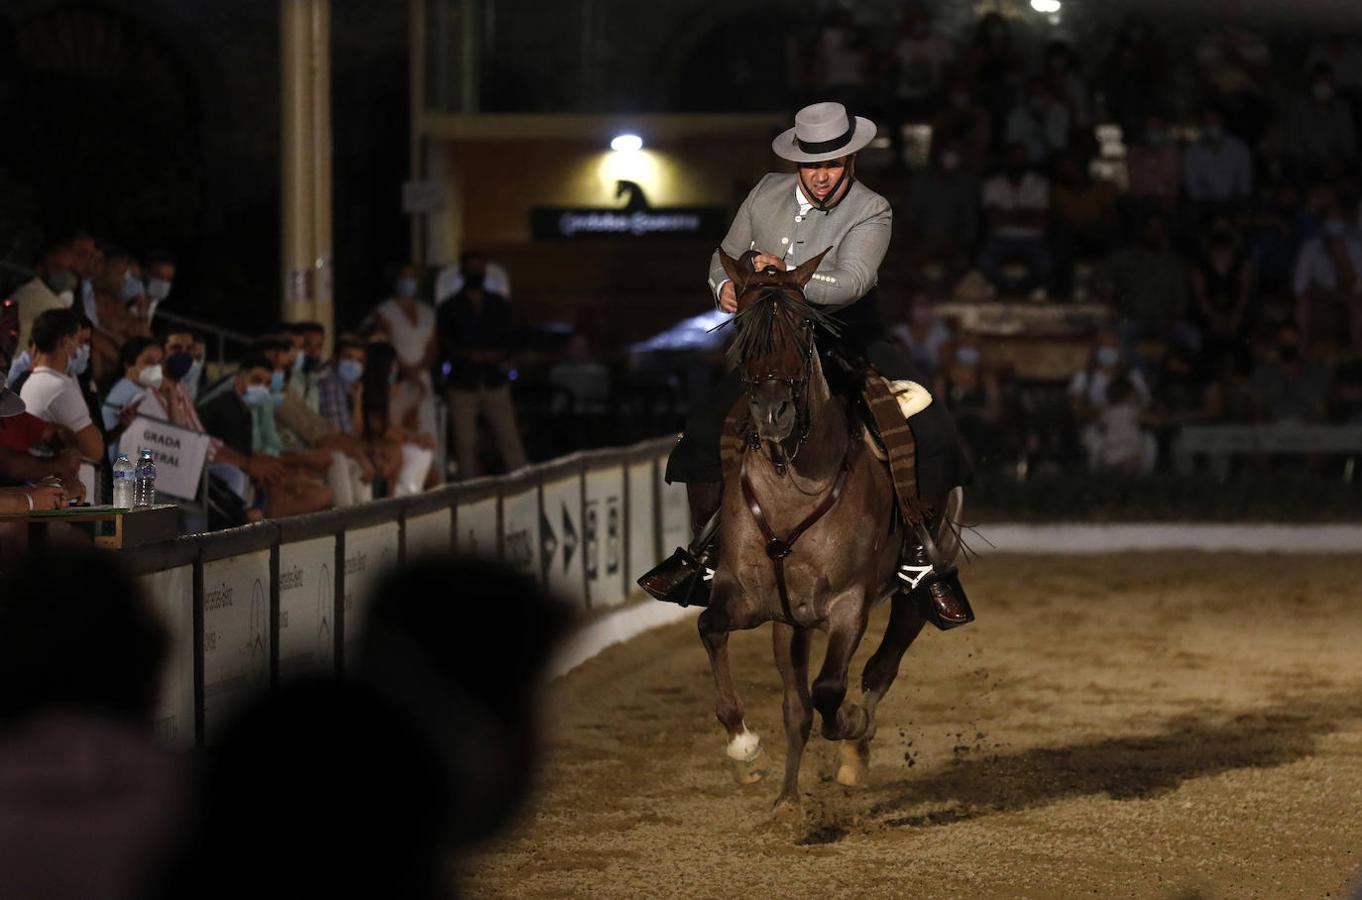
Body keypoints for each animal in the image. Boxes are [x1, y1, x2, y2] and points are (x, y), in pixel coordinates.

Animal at [702, 249, 937, 811]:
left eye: (805, 324)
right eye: (740, 326)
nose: (772, 412)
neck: (792, 482)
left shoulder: (848, 604)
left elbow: (832, 689)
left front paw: (850, 726)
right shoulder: (750, 598)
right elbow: (712, 629)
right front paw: (746, 752)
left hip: (911, 596)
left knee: (880, 668)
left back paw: (855, 751)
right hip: (790, 623)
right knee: (797, 704)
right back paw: (788, 796)